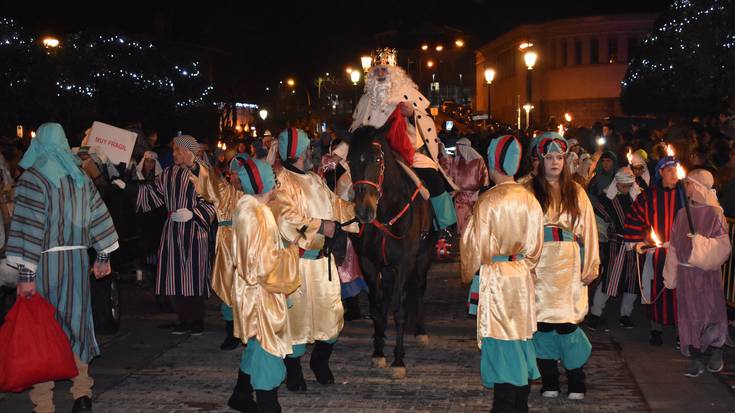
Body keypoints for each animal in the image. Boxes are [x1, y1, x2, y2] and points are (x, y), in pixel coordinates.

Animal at [346, 123, 436, 376]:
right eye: (349, 160)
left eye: (377, 159)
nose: (364, 211)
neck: (386, 216)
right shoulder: (369, 263)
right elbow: (378, 308)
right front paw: (378, 352)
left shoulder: (404, 264)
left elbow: (400, 310)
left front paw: (398, 360)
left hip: (423, 258)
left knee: (419, 288)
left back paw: (421, 331)